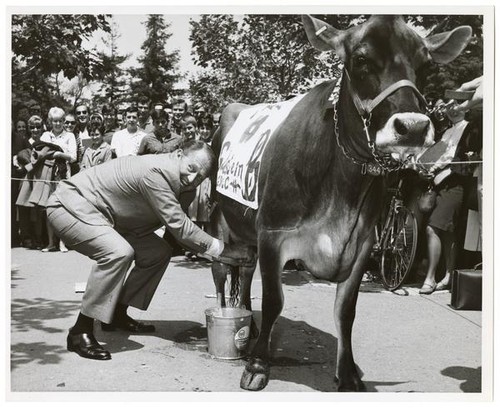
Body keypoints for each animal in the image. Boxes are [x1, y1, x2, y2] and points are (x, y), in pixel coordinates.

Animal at [208, 14, 472, 390]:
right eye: (360, 60)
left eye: (425, 66)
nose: (413, 127)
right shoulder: (272, 233)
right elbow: (274, 300)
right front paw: (258, 365)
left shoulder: (362, 245)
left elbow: (346, 312)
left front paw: (347, 372)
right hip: (220, 220)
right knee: (221, 271)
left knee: (243, 274)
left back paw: (251, 326)